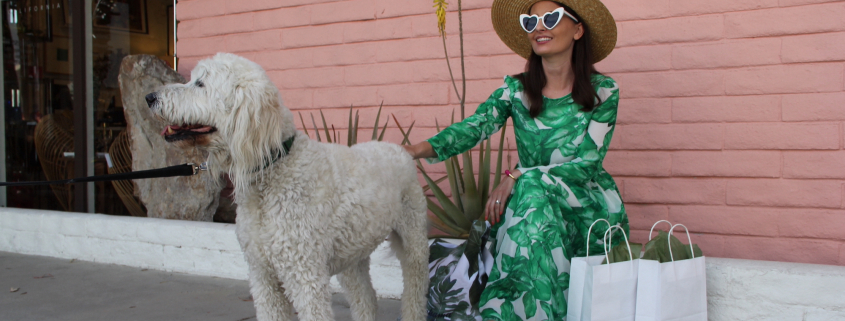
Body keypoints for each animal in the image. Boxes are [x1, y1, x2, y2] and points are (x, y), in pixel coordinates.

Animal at [144, 53, 428, 320]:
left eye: (200, 83)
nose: (149, 97)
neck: (274, 170)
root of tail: (400, 149)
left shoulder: (305, 276)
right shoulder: (262, 275)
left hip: (414, 240)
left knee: (414, 293)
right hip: (353, 252)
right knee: (366, 299)